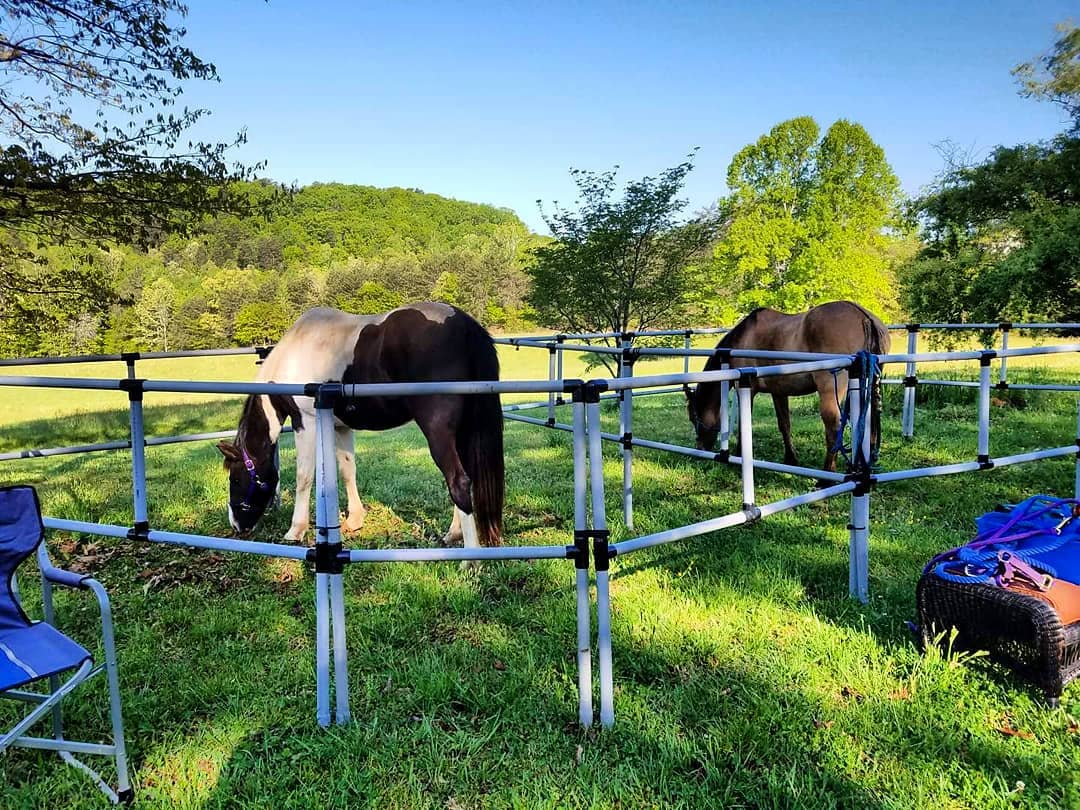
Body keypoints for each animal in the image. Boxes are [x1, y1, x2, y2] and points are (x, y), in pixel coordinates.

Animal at [216, 302, 504, 550]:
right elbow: (347, 470)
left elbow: (304, 477)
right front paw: (354, 521)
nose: (237, 526)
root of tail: (464, 324)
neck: (293, 355)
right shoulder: (341, 428)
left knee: (458, 479)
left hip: (438, 431)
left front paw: (295, 530)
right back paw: (453, 534)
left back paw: (470, 560)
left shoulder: (305, 423)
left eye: (236, 478)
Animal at [684, 301, 890, 474]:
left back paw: (826, 476)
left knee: (833, 426)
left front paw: (740, 454)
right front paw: (790, 458)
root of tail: (864, 317)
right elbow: (784, 424)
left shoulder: (748, 391)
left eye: (693, 417)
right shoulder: (778, 392)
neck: (741, 339)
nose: (700, 448)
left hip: (831, 390)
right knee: (870, 421)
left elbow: (744, 425)